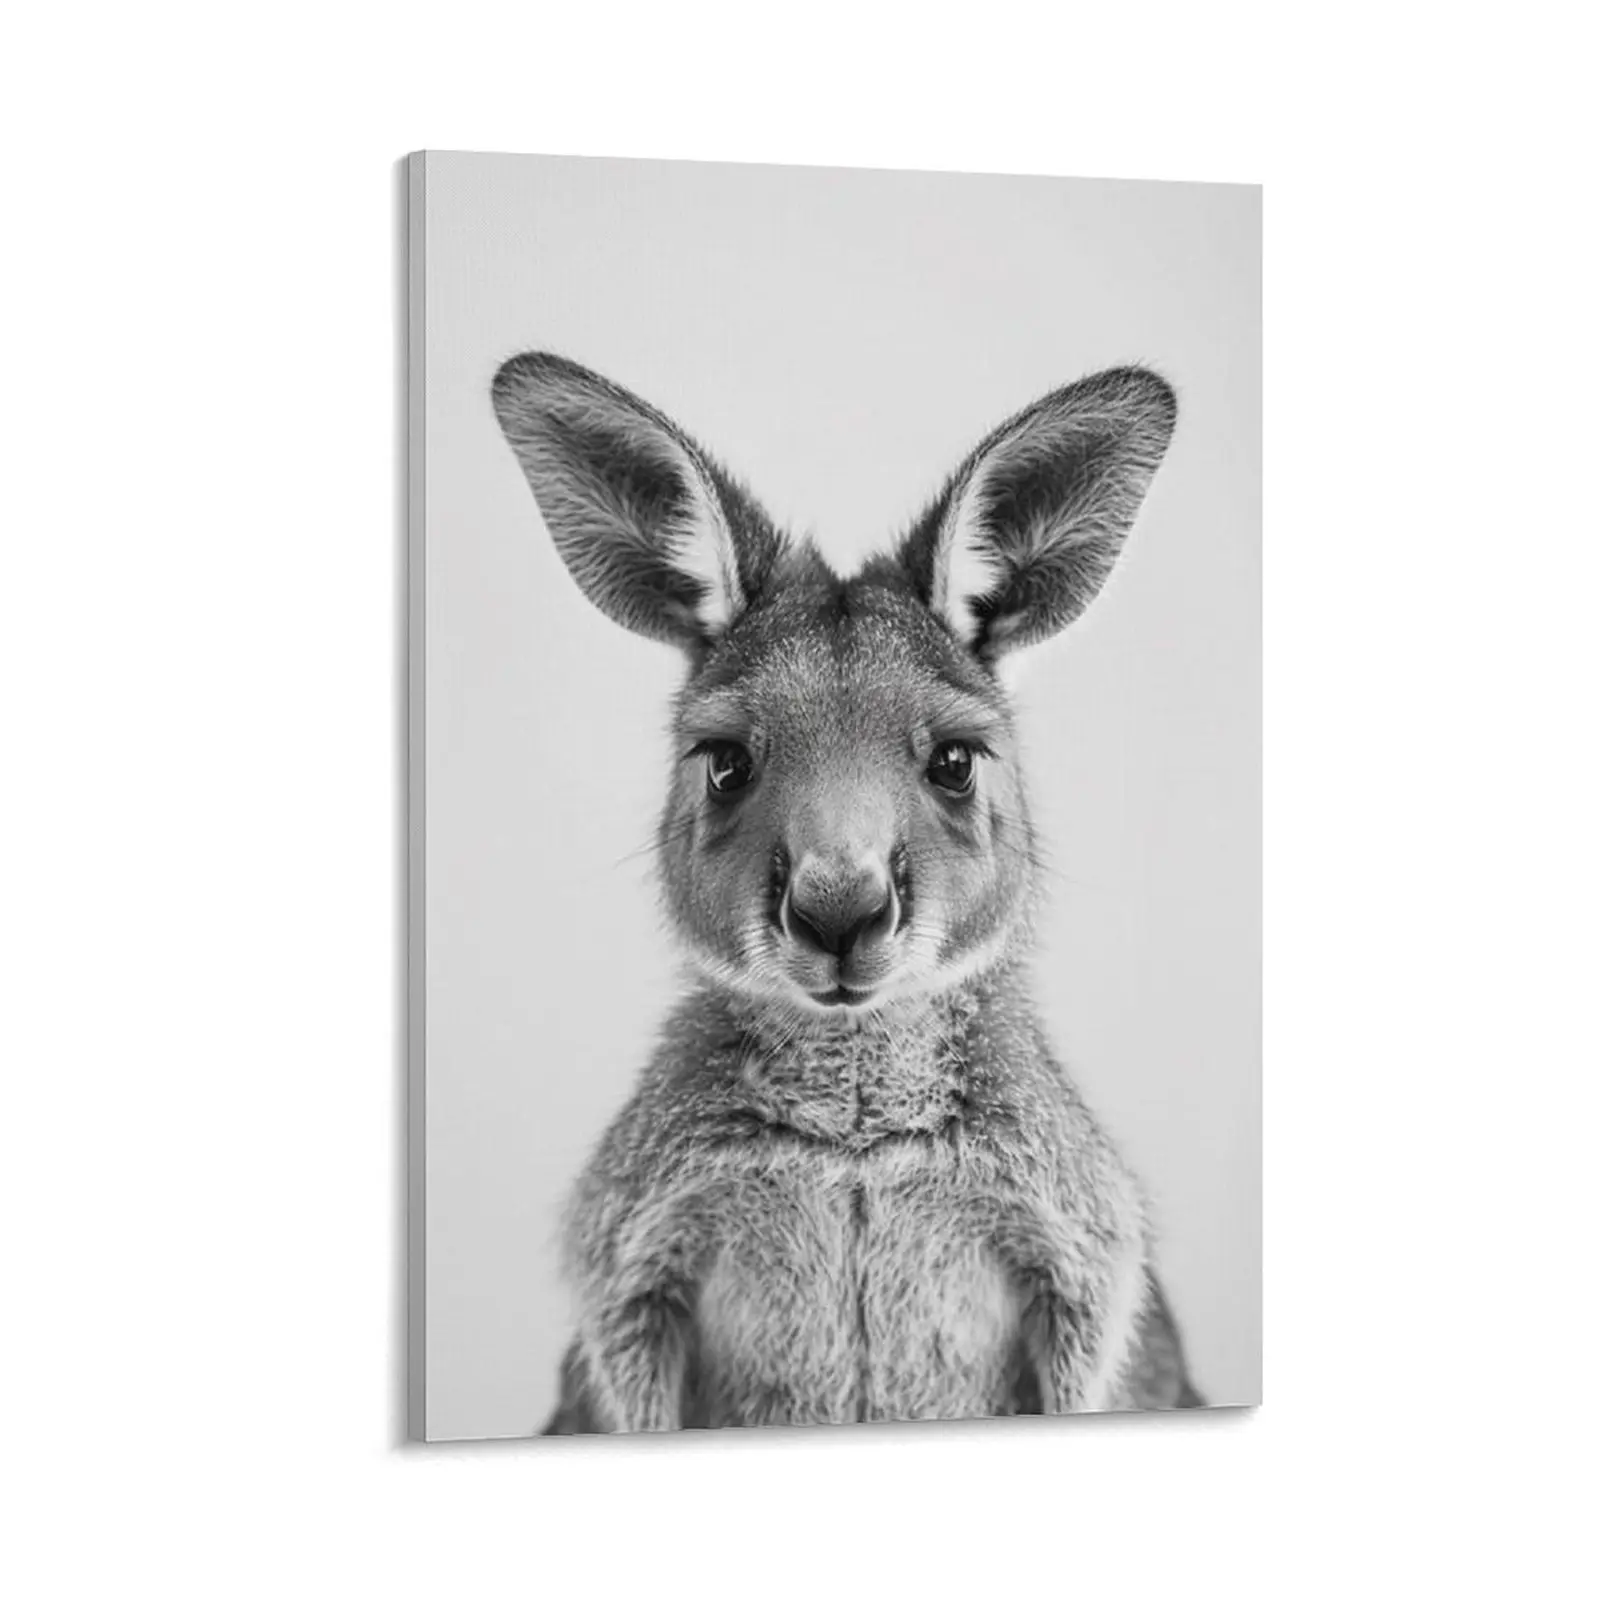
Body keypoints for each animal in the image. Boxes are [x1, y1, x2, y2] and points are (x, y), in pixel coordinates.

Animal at [491, 352, 1204, 1432]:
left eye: (954, 762)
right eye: (726, 763)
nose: (838, 914)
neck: (853, 1133)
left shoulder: (1083, 1263)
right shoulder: (629, 1269)